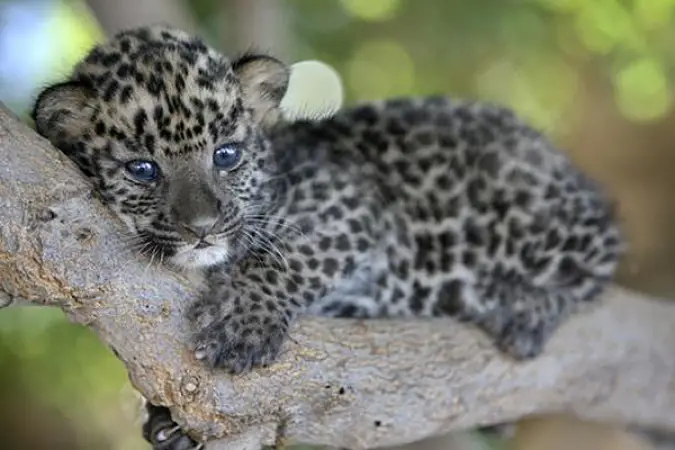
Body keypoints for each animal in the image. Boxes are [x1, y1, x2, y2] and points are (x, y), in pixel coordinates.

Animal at [31, 25, 624, 450]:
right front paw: (169, 424)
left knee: (600, 257)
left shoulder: (350, 204)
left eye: (227, 155)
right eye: (143, 170)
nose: (202, 228)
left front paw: (240, 321)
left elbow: (294, 255)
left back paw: (527, 310)